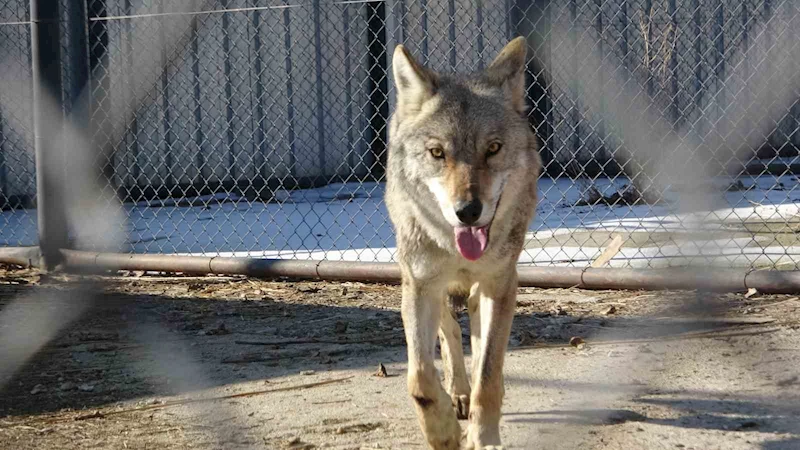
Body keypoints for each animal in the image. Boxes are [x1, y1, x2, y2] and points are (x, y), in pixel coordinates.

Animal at [382, 36, 544, 450]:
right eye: (438, 152)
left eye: (493, 148)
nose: (468, 212)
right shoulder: (419, 285)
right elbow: (420, 378)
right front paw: (443, 432)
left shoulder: (500, 283)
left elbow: (488, 375)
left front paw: (483, 438)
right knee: (449, 332)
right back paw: (457, 392)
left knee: (475, 325)